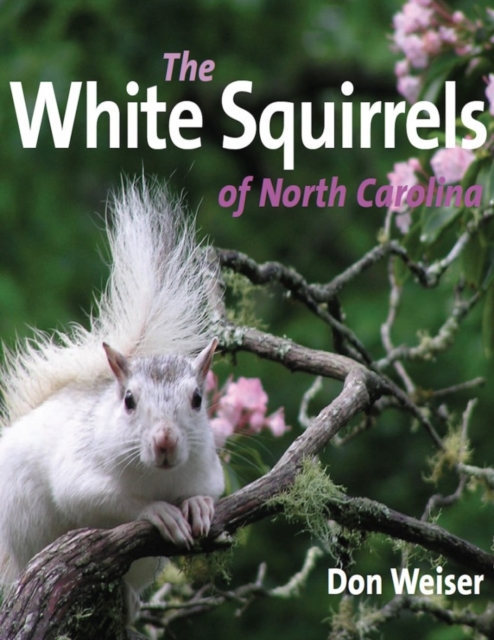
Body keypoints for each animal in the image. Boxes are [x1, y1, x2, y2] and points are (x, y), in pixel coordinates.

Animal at [0, 179, 225, 620]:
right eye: (130, 401)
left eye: (197, 399)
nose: (165, 440)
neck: (156, 477)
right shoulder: (79, 470)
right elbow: (98, 499)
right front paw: (157, 511)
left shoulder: (208, 470)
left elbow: (209, 490)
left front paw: (198, 506)